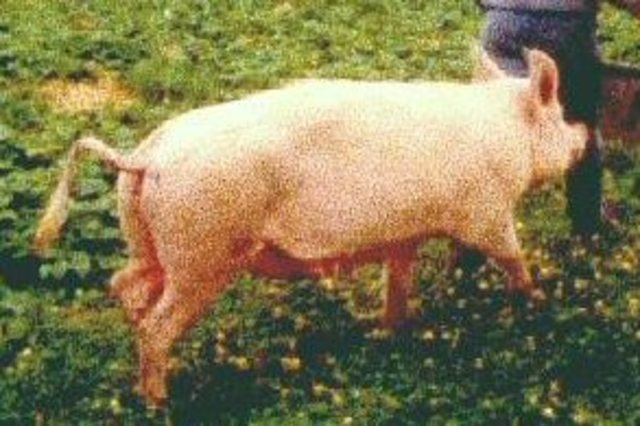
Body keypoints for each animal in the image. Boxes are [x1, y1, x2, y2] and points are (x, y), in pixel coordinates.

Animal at [33, 49, 587, 406]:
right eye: (560, 112)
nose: (583, 131)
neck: (508, 136)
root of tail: (147, 155)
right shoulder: (488, 215)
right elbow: (513, 257)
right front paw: (538, 303)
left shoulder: (402, 236)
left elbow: (398, 278)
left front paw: (393, 329)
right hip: (203, 255)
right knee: (157, 324)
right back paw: (160, 403)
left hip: (151, 244)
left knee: (123, 285)